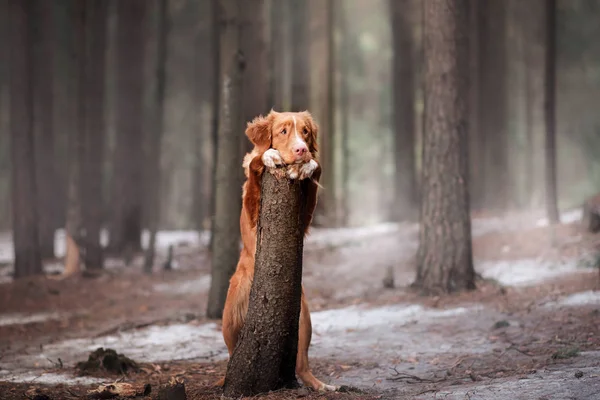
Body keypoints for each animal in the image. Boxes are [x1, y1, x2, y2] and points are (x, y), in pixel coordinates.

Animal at [214, 109, 338, 390]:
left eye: (305, 132)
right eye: (283, 131)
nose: (301, 149)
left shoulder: (304, 217)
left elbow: (316, 170)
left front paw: (308, 165)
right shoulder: (251, 213)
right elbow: (255, 164)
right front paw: (269, 156)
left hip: (303, 318)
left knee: (301, 365)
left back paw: (321, 385)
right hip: (230, 316)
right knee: (232, 354)